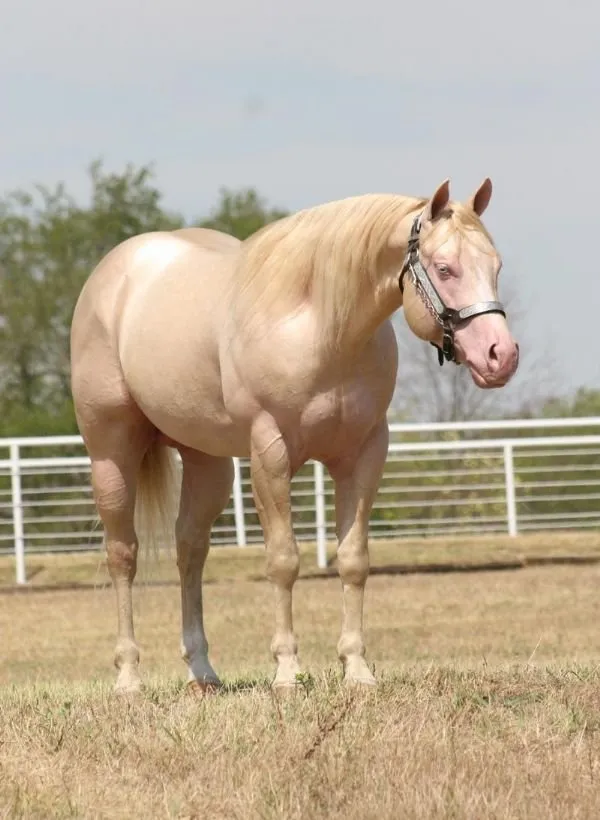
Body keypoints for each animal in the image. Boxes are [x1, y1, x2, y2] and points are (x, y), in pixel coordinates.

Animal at [70, 178, 519, 695]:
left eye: (496, 266)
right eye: (445, 268)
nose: (501, 356)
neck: (321, 328)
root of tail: (112, 273)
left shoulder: (365, 453)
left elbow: (354, 560)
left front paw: (357, 668)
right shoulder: (271, 453)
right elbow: (283, 559)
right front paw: (287, 670)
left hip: (207, 464)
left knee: (191, 551)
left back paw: (203, 672)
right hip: (111, 453)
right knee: (123, 555)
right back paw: (128, 677)